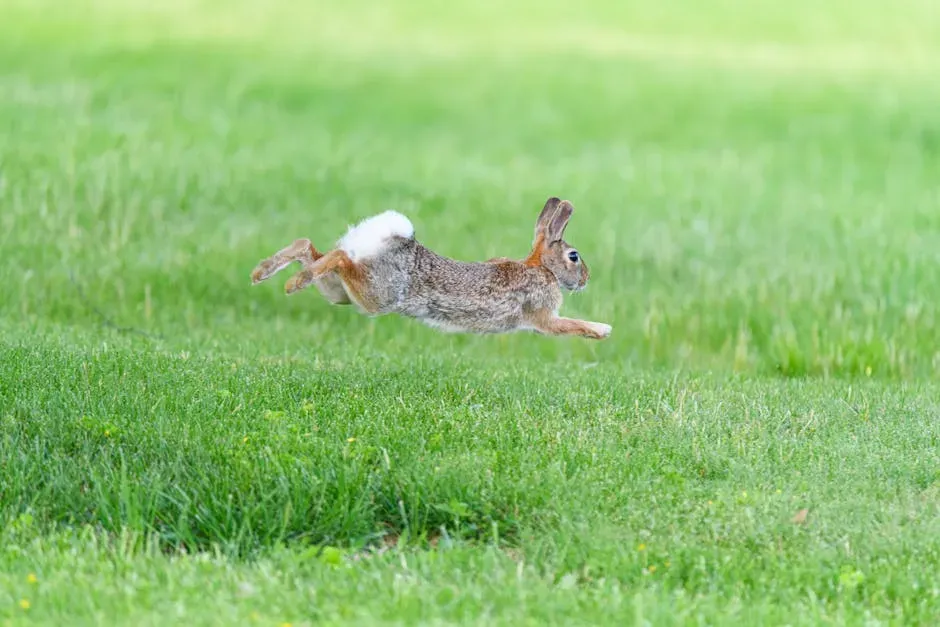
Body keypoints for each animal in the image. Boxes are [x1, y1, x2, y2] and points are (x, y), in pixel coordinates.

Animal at [250, 196, 612, 340]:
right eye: (574, 257)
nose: (587, 278)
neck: (542, 267)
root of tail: (384, 238)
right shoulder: (542, 316)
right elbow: (570, 325)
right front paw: (603, 330)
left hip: (340, 292)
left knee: (309, 247)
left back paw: (264, 273)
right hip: (376, 295)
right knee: (338, 257)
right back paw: (293, 283)